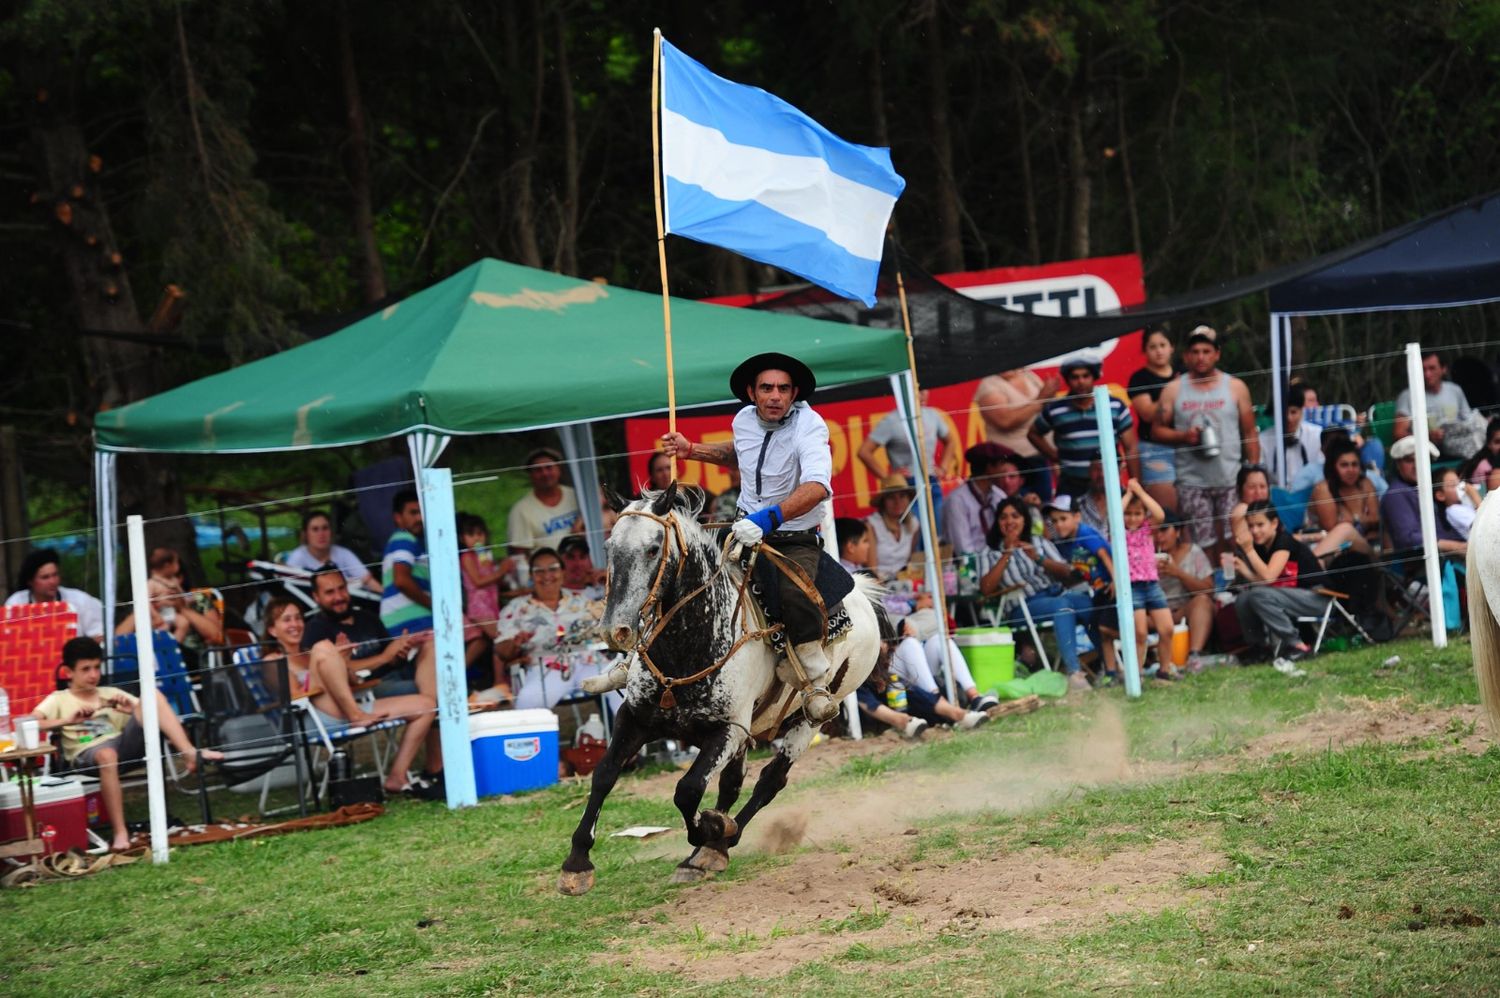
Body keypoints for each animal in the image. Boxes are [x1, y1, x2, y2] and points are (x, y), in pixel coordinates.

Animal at [564, 480, 888, 888]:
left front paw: (711, 831)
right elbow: (605, 774)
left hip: (810, 718)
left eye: (653, 548)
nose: (615, 630)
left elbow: (687, 790)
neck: (689, 646)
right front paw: (577, 862)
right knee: (734, 783)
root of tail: (860, 590)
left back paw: (718, 844)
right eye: (609, 549)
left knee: (770, 780)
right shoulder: (635, 717)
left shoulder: (729, 730)